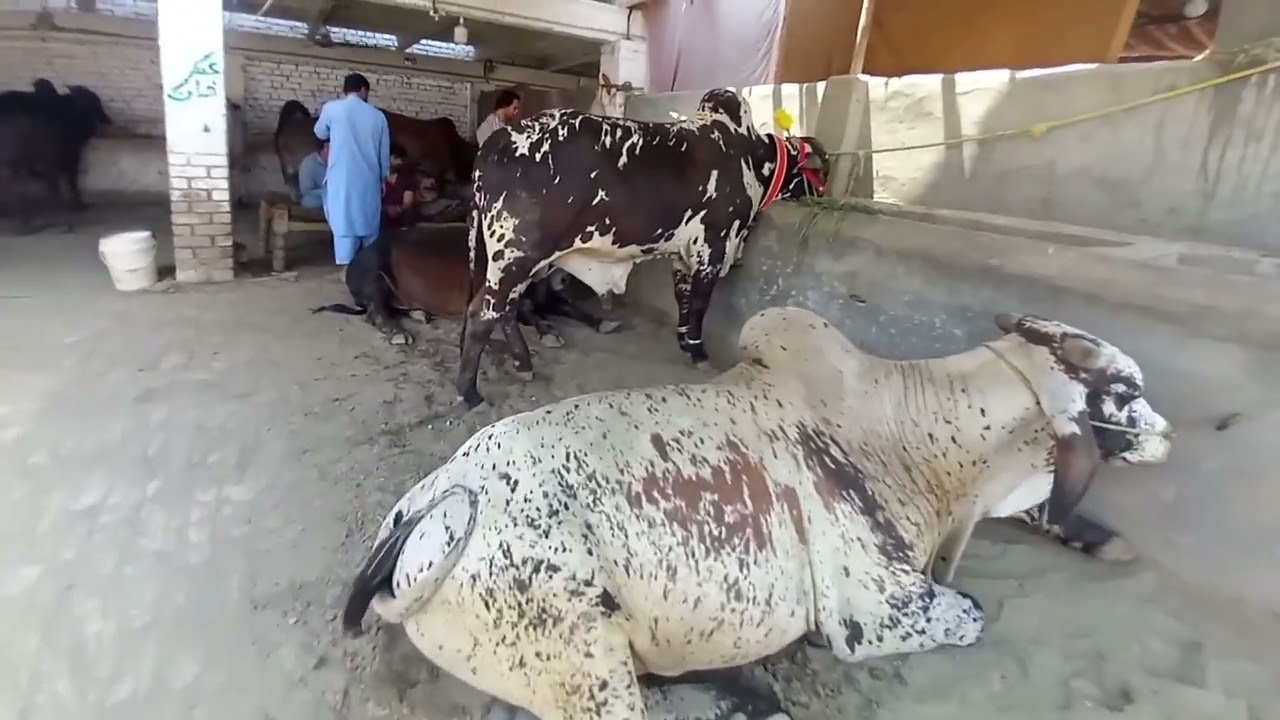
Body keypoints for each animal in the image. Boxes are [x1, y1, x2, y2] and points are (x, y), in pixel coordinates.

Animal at [311, 224, 621, 350]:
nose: (564, 279)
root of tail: (355, 261)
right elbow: (532, 314)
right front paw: (551, 335)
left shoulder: (547, 297)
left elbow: (570, 307)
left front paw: (608, 323)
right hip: (373, 273)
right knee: (374, 310)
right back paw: (399, 334)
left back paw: (420, 315)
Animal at [343, 306, 1173, 720]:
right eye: (1127, 390)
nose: (1168, 435)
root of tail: (430, 503)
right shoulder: (876, 613)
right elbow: (969, 610)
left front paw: (1103, 539)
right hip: (588, 672)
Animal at [455, 88, 830, 408]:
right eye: (822, 168)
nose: (825, 197)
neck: (749, 157)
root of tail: (493, 145)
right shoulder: (713, 248)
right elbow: (699, 305)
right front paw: (699, 353)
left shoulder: (682, 254)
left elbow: (683, 300)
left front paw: (684, 342)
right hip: (515, 257)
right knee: (483, 314)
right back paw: (470, 392)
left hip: (515, 261)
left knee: (504, 309)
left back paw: (523, 361)